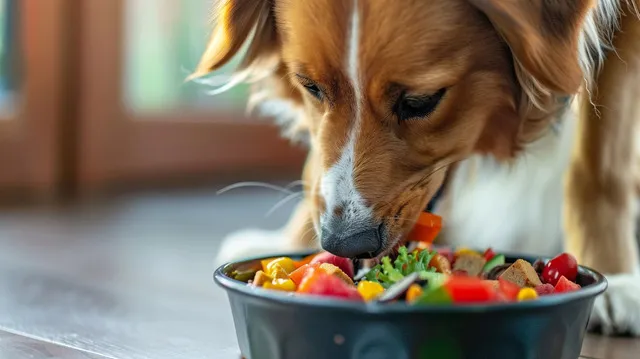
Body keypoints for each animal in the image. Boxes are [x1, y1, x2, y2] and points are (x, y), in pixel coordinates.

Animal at [190, 0, 640, 338]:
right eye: (310, 86)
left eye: (421, 102)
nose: (343, 245)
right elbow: (316, 169)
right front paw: (290, 238)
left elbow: (600, 168)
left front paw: (616, 275)